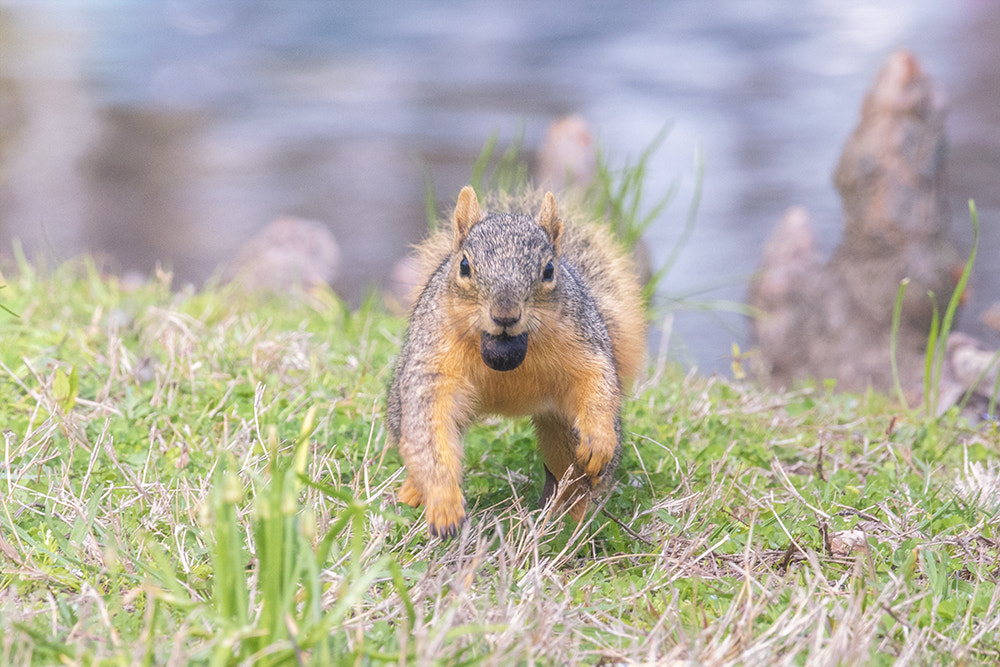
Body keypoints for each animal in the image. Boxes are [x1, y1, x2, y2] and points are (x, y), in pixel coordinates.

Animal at [387, 186, 646, 537]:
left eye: (549, 270)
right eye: (464, 266)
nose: (505, 315)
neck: (506, 348)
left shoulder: (584, 342)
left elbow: (597, 380)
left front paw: (598, 440)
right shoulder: (433, 366)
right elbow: (430, 431)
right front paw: (444, 503)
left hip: (563, 430)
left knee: (575, 480)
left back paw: (570, 521)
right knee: (413, 446)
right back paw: (411, 495)